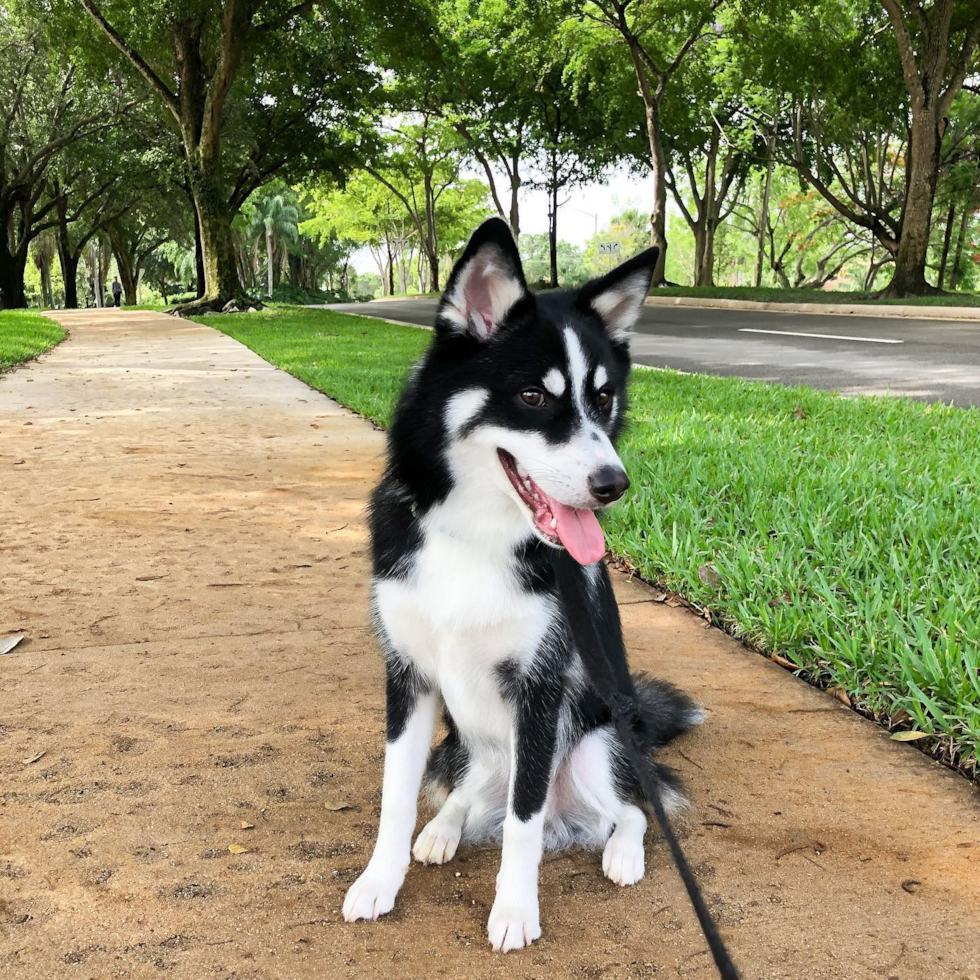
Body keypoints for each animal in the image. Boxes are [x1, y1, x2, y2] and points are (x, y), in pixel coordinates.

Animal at [340, 220, 700, 948]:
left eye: (602, 398)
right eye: (533, 396)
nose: (613, 485)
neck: (473, 534)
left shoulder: (540, 693)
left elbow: (524, 824)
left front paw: (514, 910)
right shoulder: (408, 680)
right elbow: (395, 798)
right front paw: (379, 880)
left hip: (592, 744)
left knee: (632, 809)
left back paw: (623, 852)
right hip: (464, 749)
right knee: (468, 795)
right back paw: (442, 831)